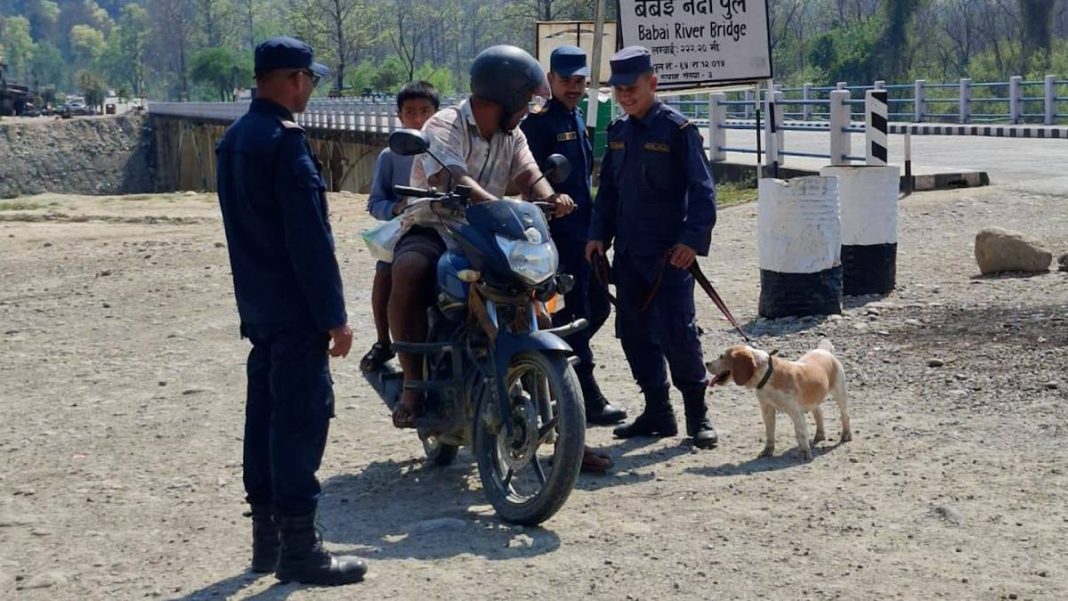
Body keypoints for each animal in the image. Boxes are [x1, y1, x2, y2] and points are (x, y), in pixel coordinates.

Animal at [705, 340, 851, 461]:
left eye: (721, 356)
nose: (706, 363)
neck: (768, 374)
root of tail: (823, 350)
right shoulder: (767, 410)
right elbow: (769, 432)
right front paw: (767, 451)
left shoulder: (796, 412)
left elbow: (801, 433)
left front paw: (805, 453)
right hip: (813, 400)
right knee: (819, 413)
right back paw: (819, 434)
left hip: (840, 394)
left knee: (845, 416)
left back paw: (846, 435)